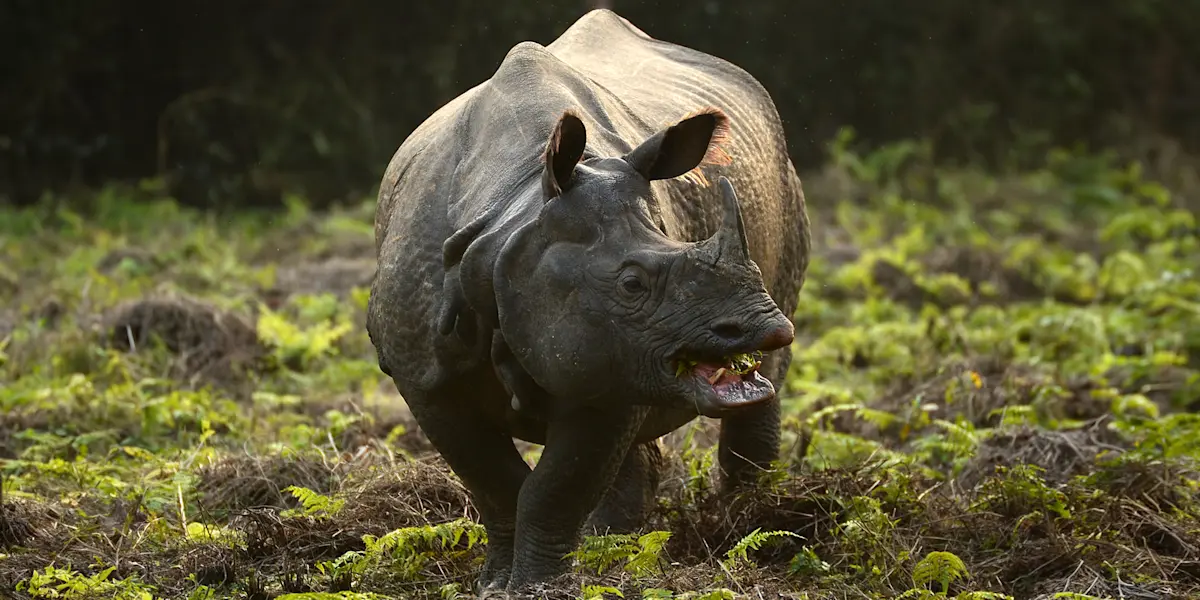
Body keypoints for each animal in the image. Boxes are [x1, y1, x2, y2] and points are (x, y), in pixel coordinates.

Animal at [366, 9, 811, 594]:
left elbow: (555, 489)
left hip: (782, 177)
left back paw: (743, 523)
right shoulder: (426, 377)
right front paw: (498, 587)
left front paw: (538, 589)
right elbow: (495, 482)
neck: (512, 211)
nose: (765, 326)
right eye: (631, 284)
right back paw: (615, 547)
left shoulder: (617, 360)